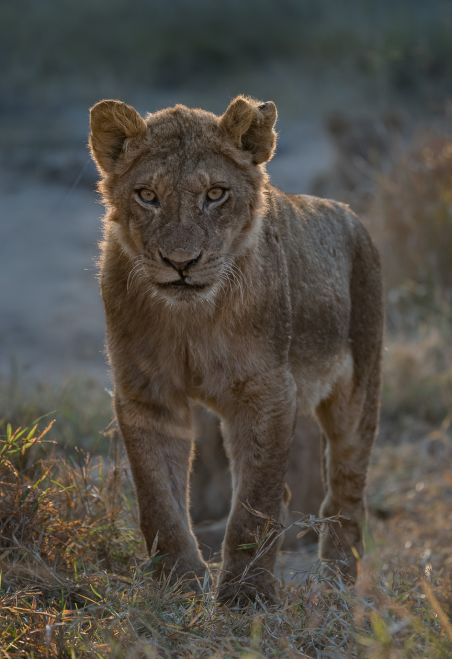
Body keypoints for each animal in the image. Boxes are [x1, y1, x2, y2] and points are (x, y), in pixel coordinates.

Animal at [88, 95, 383, 604]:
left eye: (215, 194)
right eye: (147, 195)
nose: (181, 263)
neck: (190, 319)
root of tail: (351, 216)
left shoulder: (266, 391)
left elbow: (253, 504)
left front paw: (246, 598)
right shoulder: (146, 394)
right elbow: (158, 499)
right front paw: (179, 585)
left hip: (358, 391)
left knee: (346, 490)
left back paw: (336, 586)